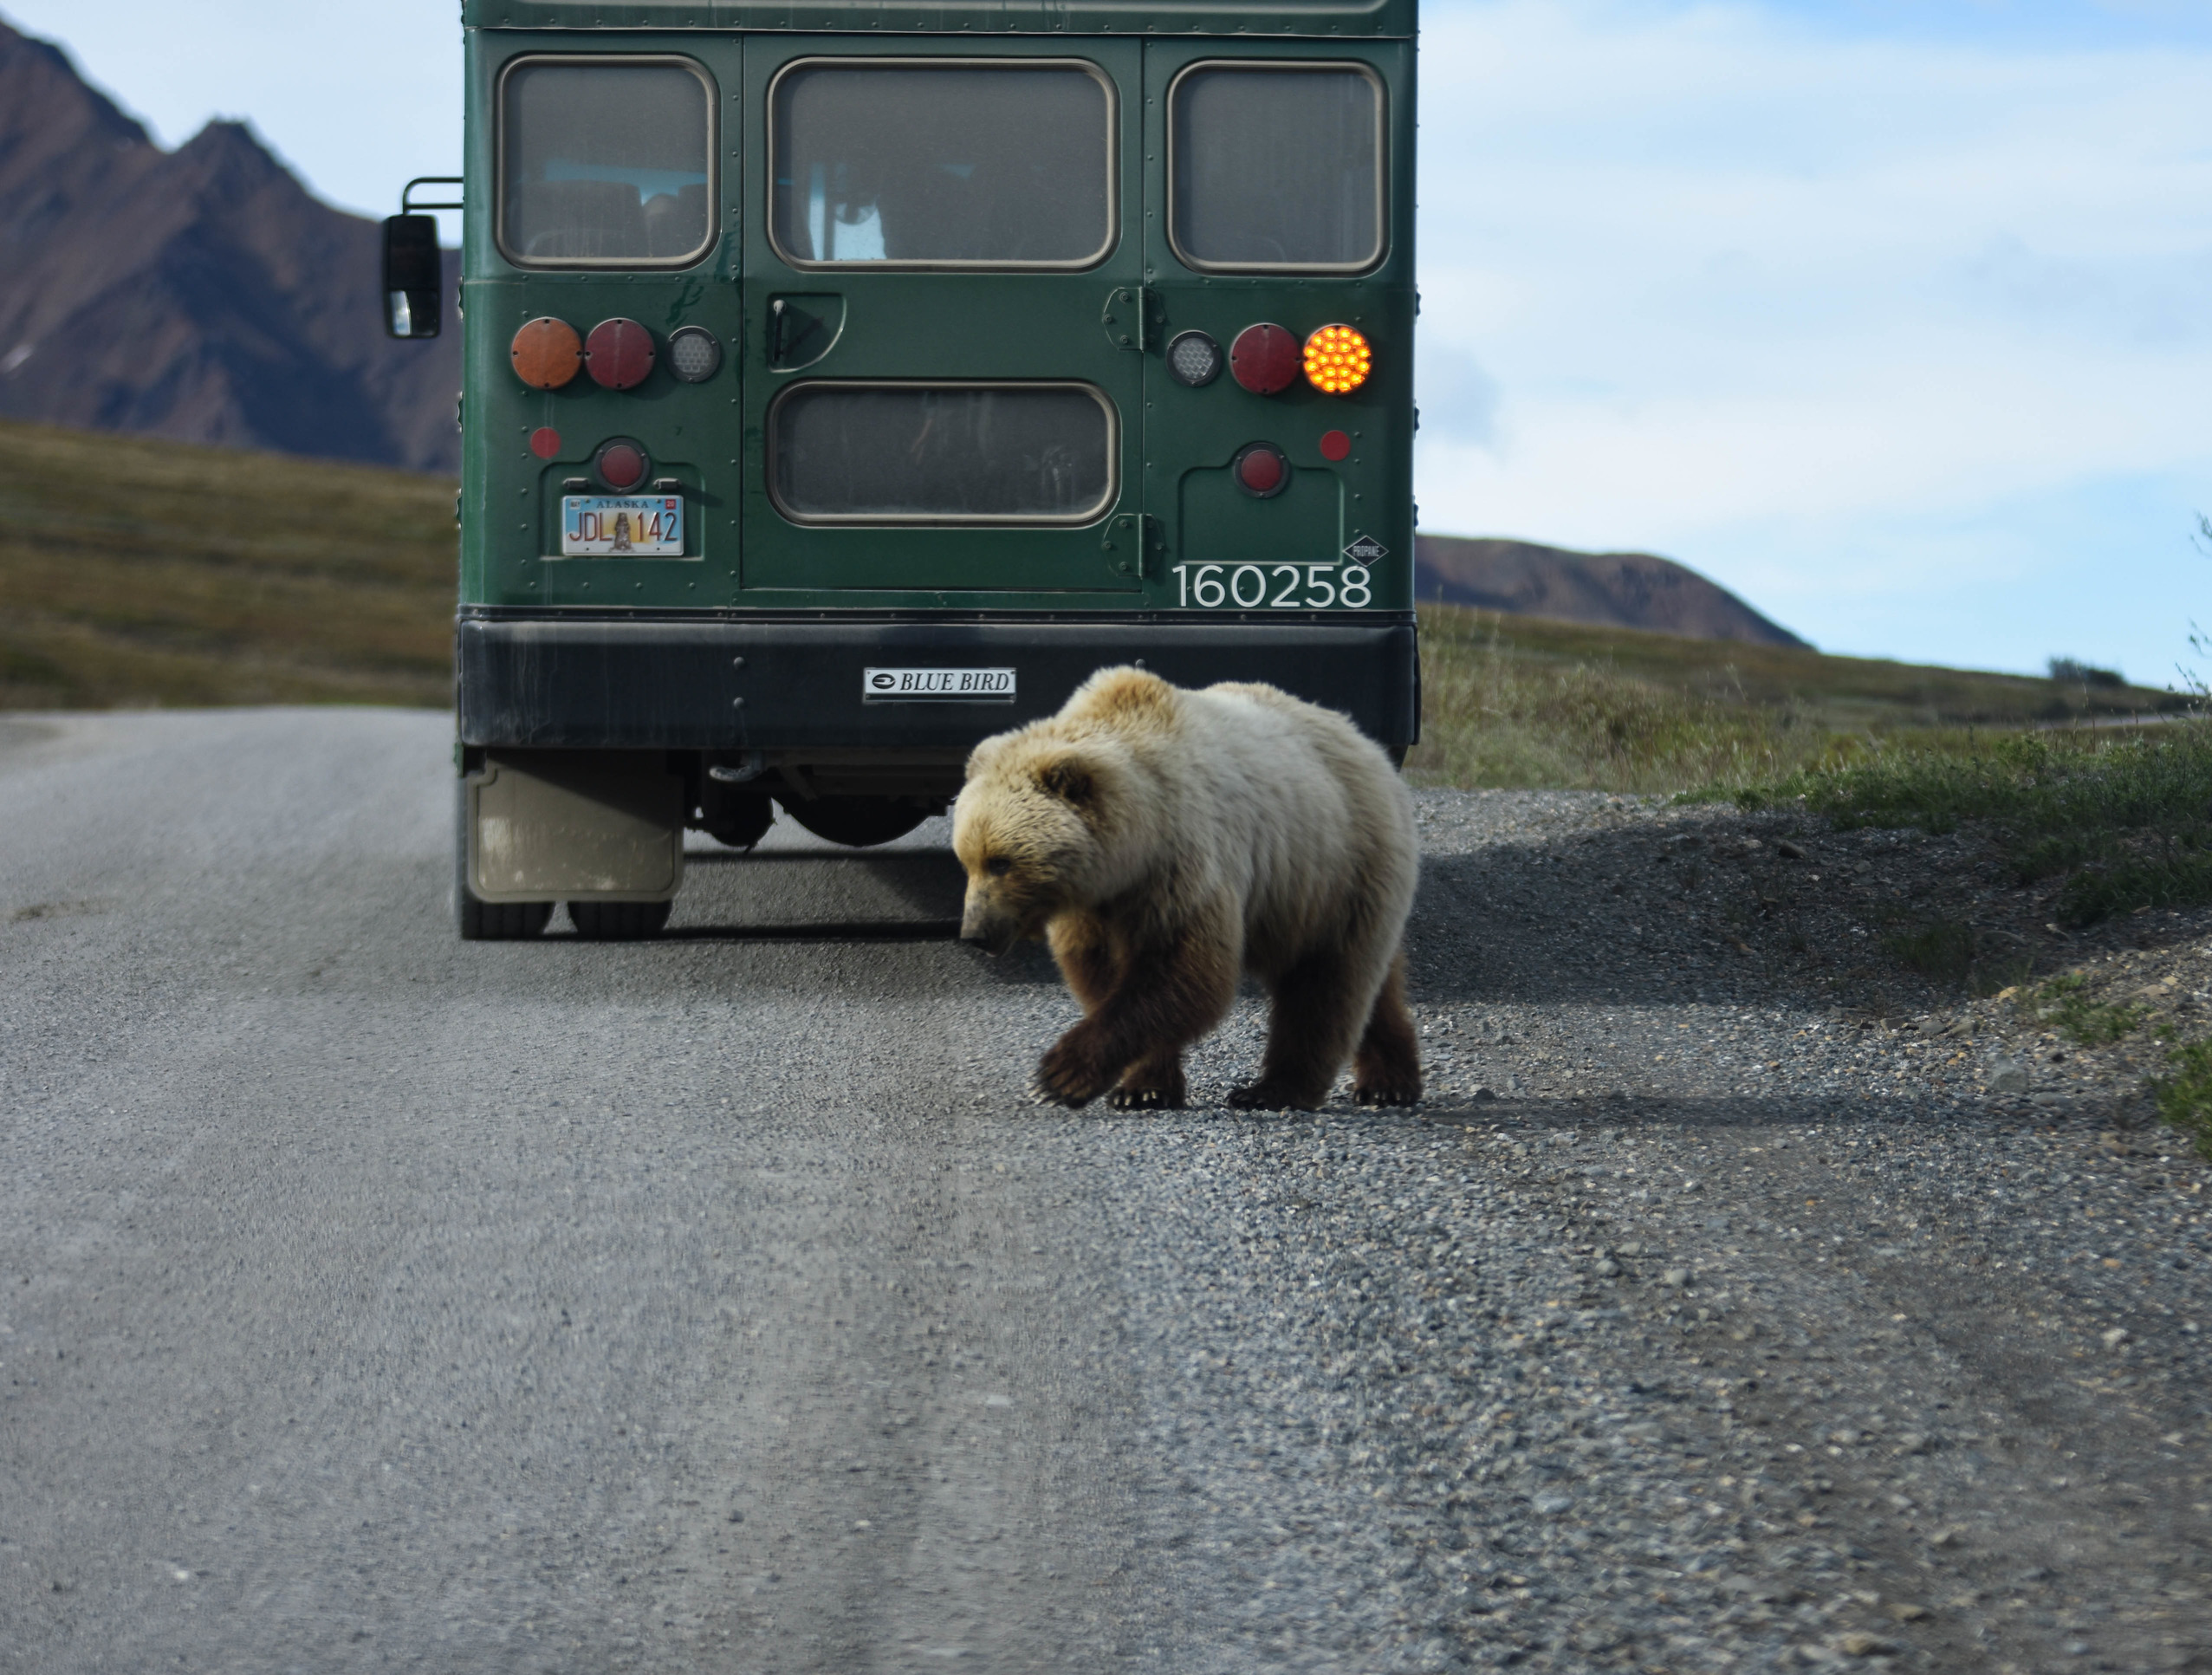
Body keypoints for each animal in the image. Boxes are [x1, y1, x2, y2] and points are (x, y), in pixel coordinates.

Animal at [952, 666, 1421, 1111]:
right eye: (967, 861)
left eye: (1001, 861)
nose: (974, 933)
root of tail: (1365, 742)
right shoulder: (1092, 906)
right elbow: (1103, 975)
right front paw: (1142, 1088)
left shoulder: (1182, 866)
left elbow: (1185, 970)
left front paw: (1058, 1076)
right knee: (1371, 984)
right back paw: (1390, 1081)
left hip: (1336, 869)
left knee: (1324, 983)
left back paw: (1276, 1089)